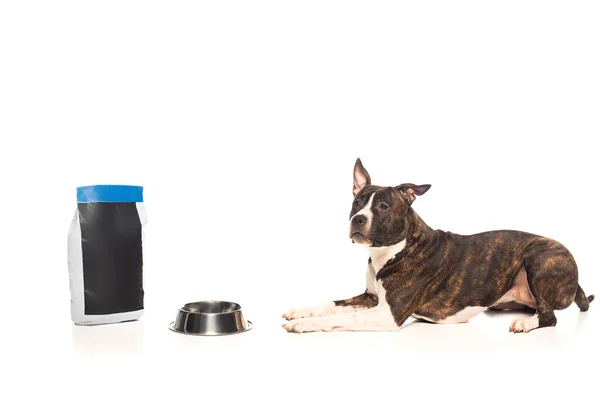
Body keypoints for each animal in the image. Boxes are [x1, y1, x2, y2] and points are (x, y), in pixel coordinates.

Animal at [284, 158, 592, 332]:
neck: (391, 251)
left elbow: (343, 318)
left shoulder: (386, 315)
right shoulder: (370, 298)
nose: (358, 219)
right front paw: (300, 311)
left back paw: (526, 323)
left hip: (539, 257)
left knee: (549, 316)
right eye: (357, 202)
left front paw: (304, 323)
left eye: (383, 206)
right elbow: (332, 304)